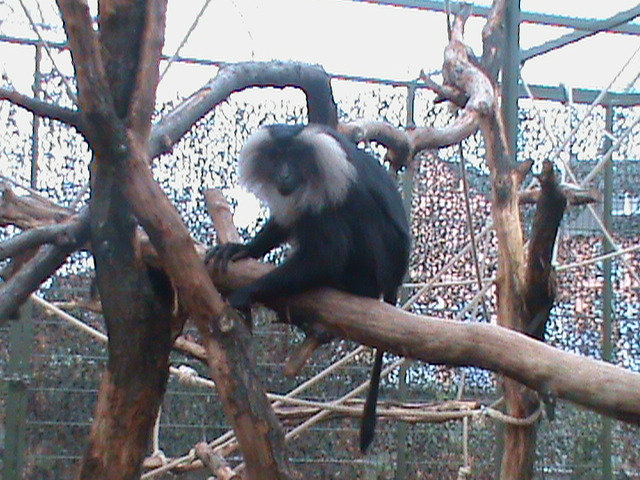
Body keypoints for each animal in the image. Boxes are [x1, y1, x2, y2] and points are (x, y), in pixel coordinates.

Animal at [209, 123, 410, 453]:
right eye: (276, 158)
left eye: (295, 159)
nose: (283, 174)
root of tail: (396, 278)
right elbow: (285, 220)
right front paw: (243, 249)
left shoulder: (333, 188)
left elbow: (325, 256)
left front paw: (246, 293)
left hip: (379, 258)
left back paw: (350, 286)